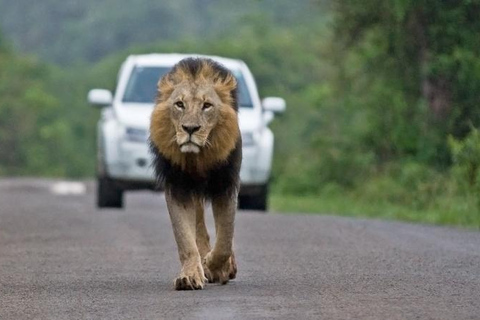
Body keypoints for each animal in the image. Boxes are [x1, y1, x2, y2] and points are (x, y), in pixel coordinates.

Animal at [149, 57, 240, 290]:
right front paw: (190, 276)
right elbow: (185, 238)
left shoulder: (224, 184)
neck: (197, 158)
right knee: (199, 228)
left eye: (207, 106)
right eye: (179, 104)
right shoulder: (178, 187)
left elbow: (225, 239)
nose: (190, 128)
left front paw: (215, 266)